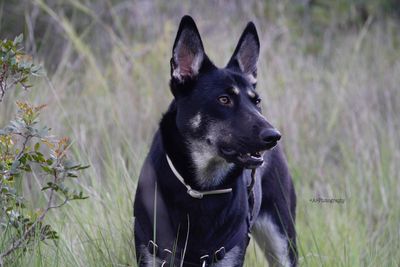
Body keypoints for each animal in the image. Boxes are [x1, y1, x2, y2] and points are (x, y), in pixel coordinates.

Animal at [134, 15, 296, 266]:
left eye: (256, 101)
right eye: (224, 99)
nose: (274, 136)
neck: (199, 189)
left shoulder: (228, 255)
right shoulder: (151, 253)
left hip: (282, 240)